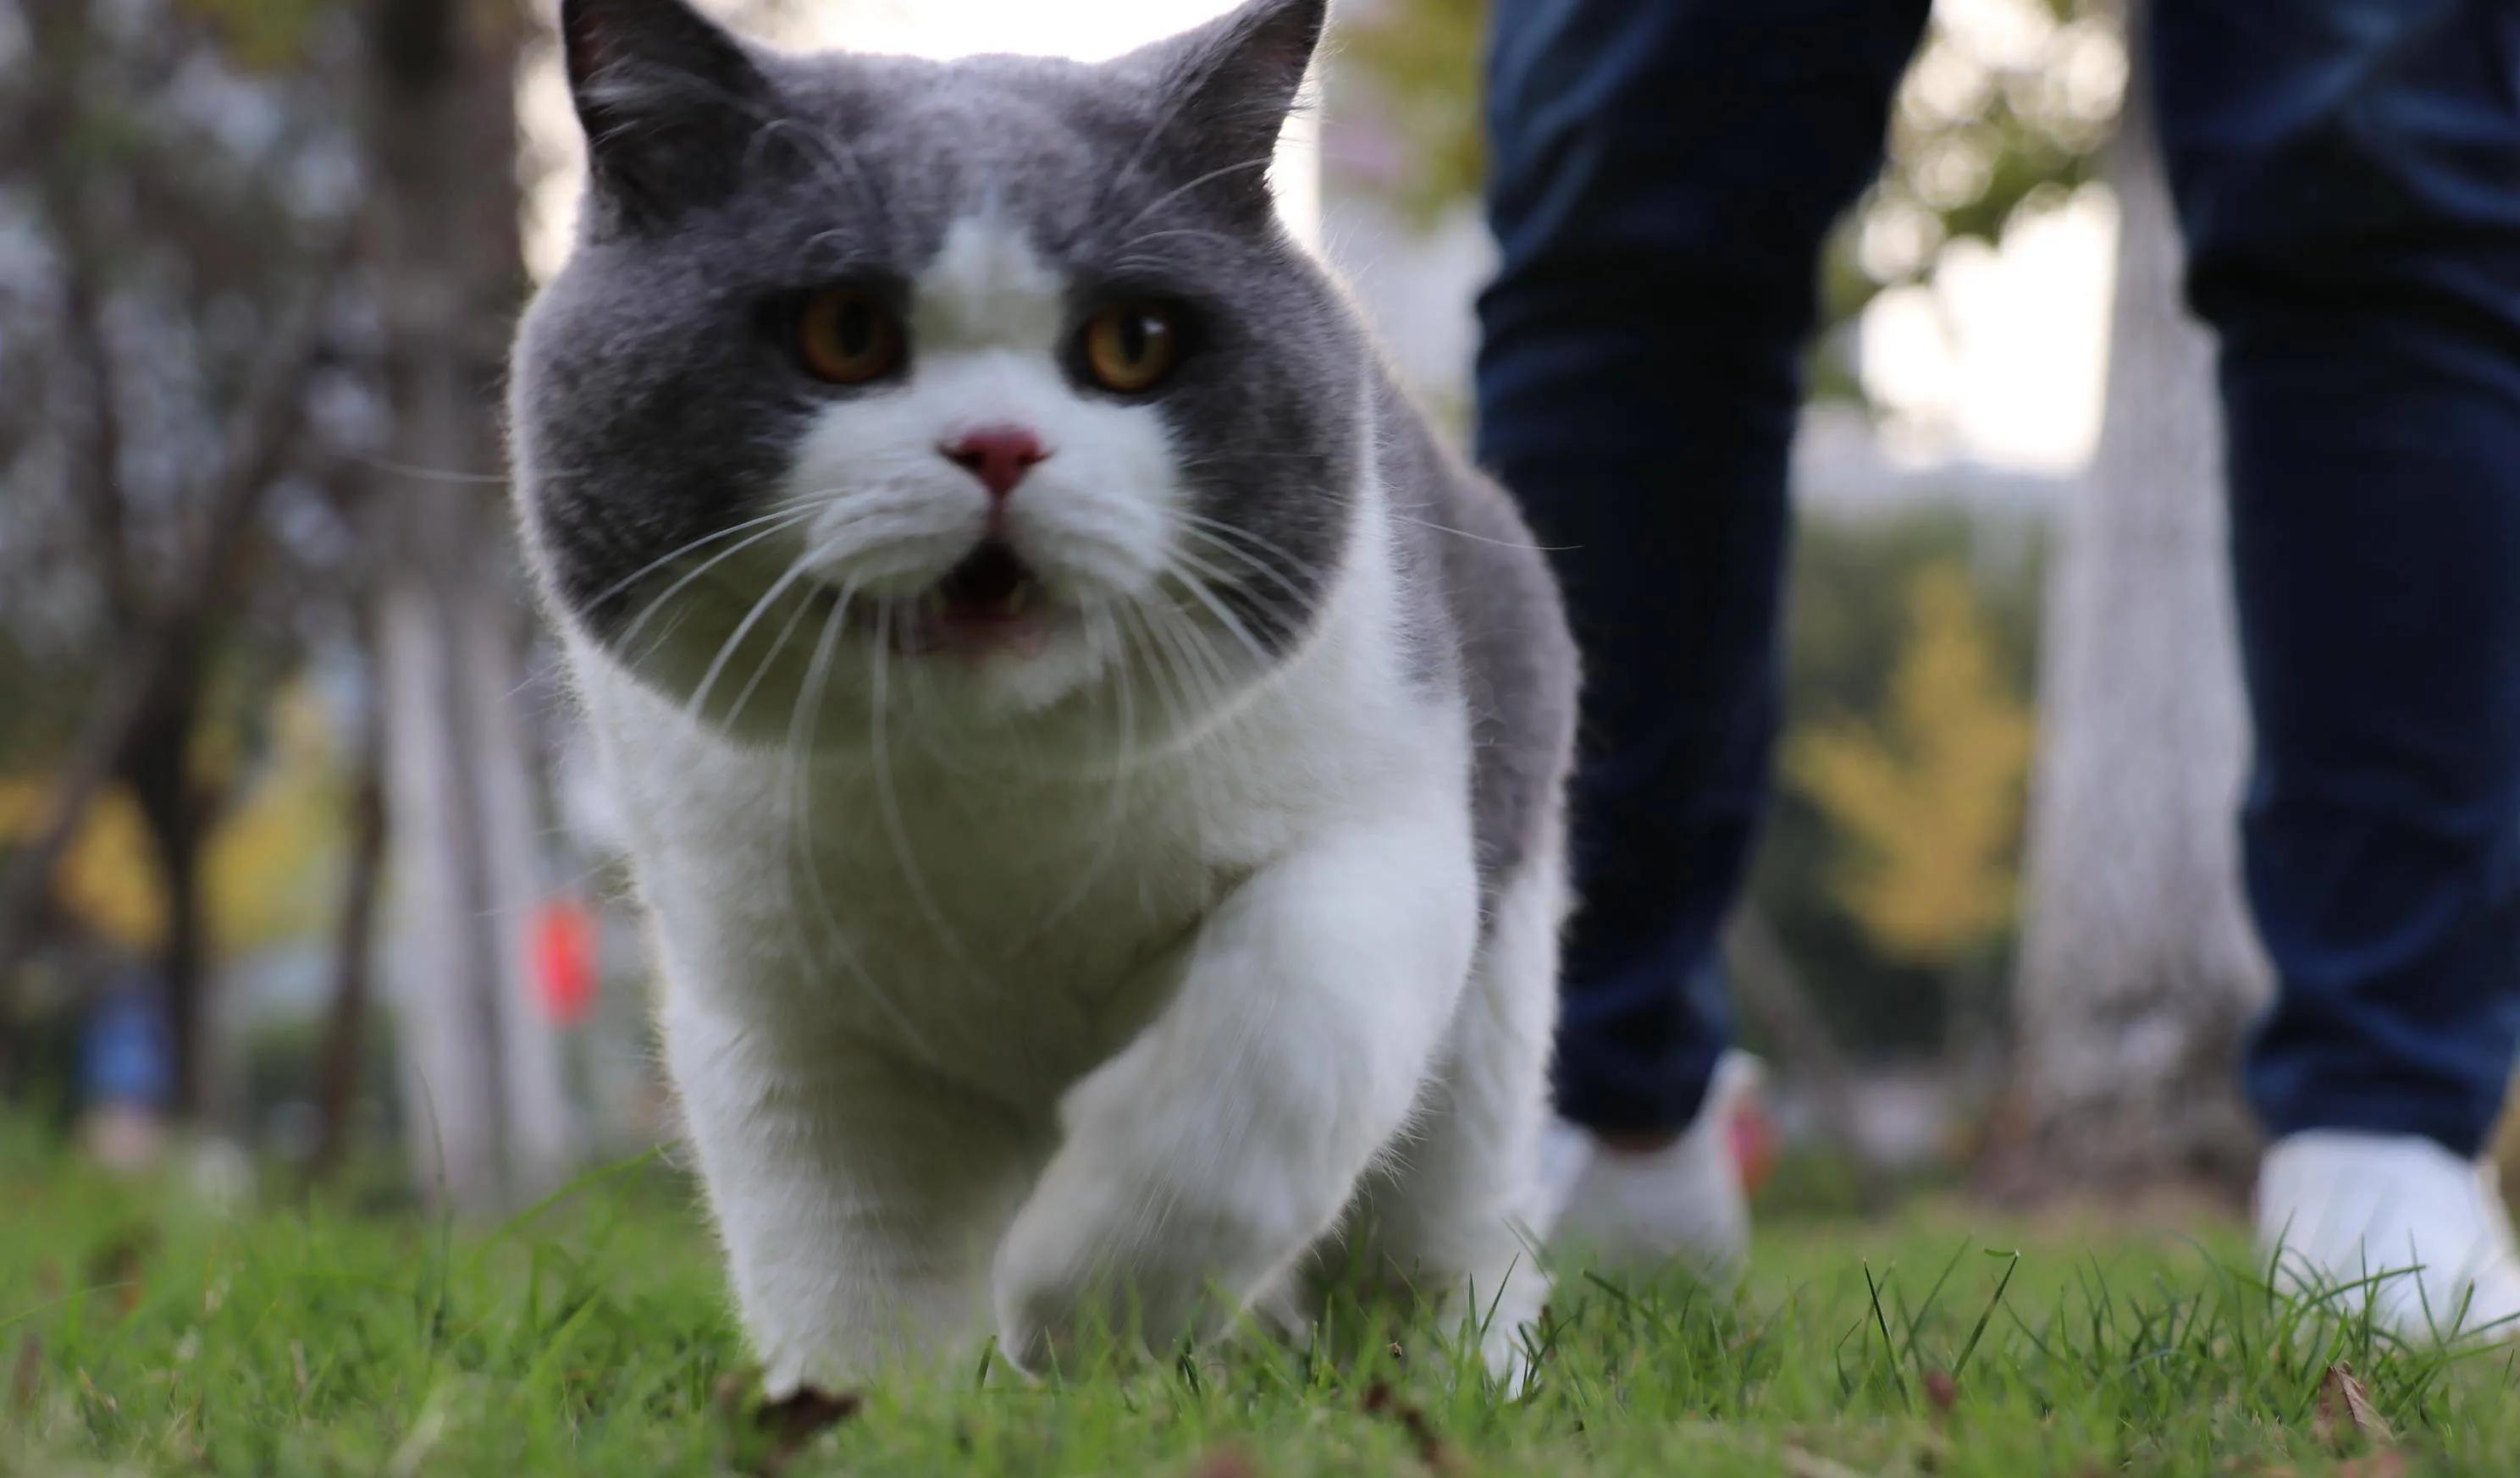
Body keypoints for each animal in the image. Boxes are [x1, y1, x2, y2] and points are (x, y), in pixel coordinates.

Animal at [509, 0, 1572, 1389]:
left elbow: (1270, 1053)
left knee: (1446, 1238)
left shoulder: (1379, 838)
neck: (993, 818)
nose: (1000, 447)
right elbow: (848, 1252)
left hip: (1492, 1016)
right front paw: (878, 1409)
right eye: (844, 331)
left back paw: (1452, 1381)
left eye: (1133, 344)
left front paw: (1079, 1313)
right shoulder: (779, 1006)